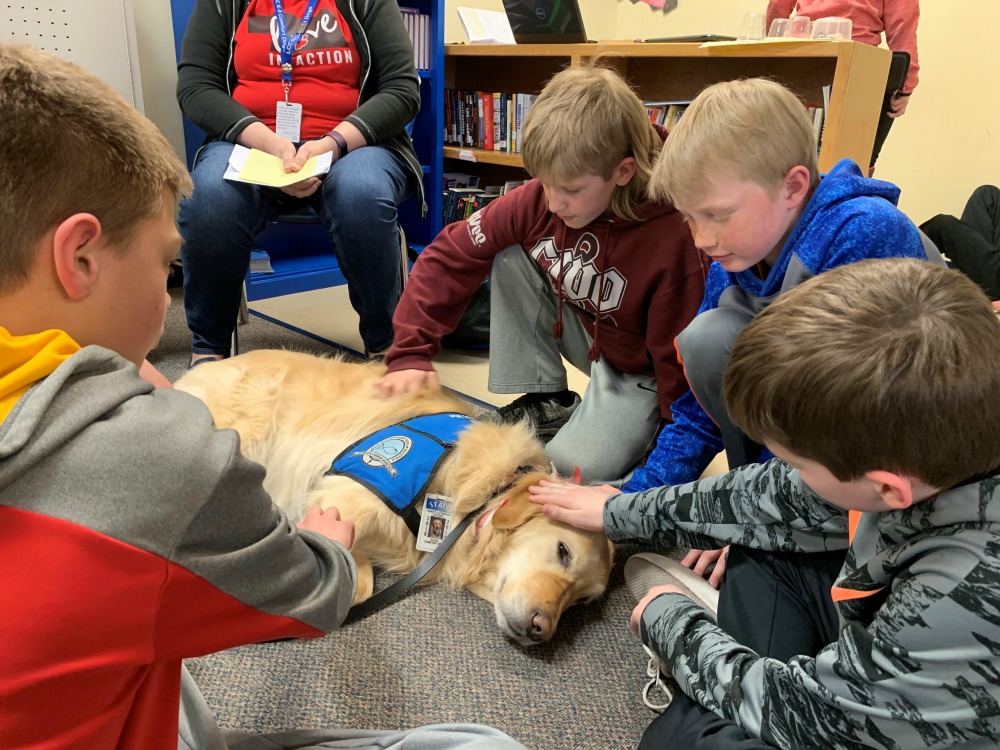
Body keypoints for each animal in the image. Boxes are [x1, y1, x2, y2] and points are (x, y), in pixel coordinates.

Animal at [178, 350, 616, 644]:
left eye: (580, 602)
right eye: (563, 551)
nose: (543, 630)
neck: (477, 496)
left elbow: (357, 580)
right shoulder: (345, 493)